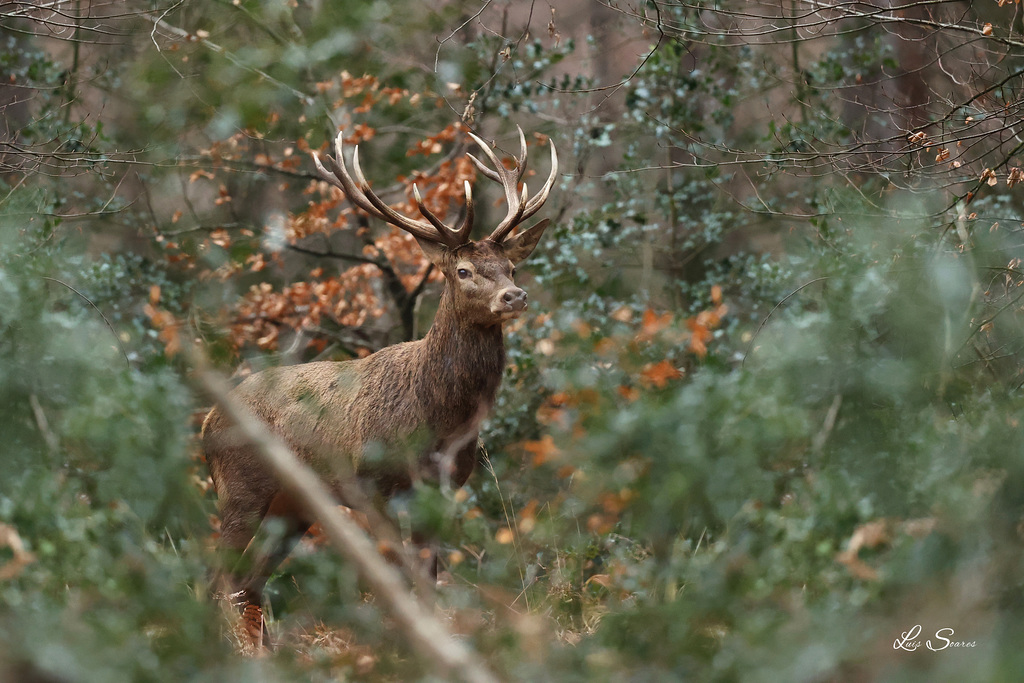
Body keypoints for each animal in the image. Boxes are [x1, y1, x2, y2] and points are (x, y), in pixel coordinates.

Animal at [200, 126, 561, 651]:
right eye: (464, 271)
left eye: (510, 268)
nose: (515, 296)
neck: (436, 423)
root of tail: (206, 421)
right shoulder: (369, 483)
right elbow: (398, 577)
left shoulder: (444, 487)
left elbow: (427, 578)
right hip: (240, 488)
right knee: (216, 579)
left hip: (293, 507)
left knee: (249, 583)